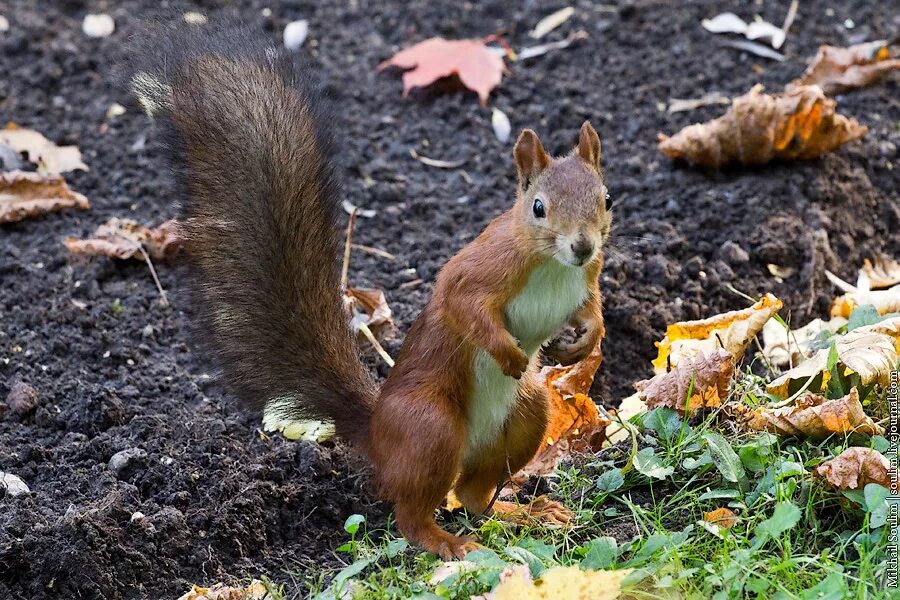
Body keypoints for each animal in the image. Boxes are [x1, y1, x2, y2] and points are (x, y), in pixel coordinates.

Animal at [132, 22, 612, 556]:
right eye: (539, 208)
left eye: (607, 199)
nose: (582, 246)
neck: (553, 265)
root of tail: (380, 434)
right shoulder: (481, 269)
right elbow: (462, 305)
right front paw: (508, 353)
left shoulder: (586, 277)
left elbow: (591, 306)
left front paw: (584, 340)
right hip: (430, 426)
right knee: (413, 514)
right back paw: (447, 542)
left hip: (527, 412)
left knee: (472, 494)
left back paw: (525, 513)